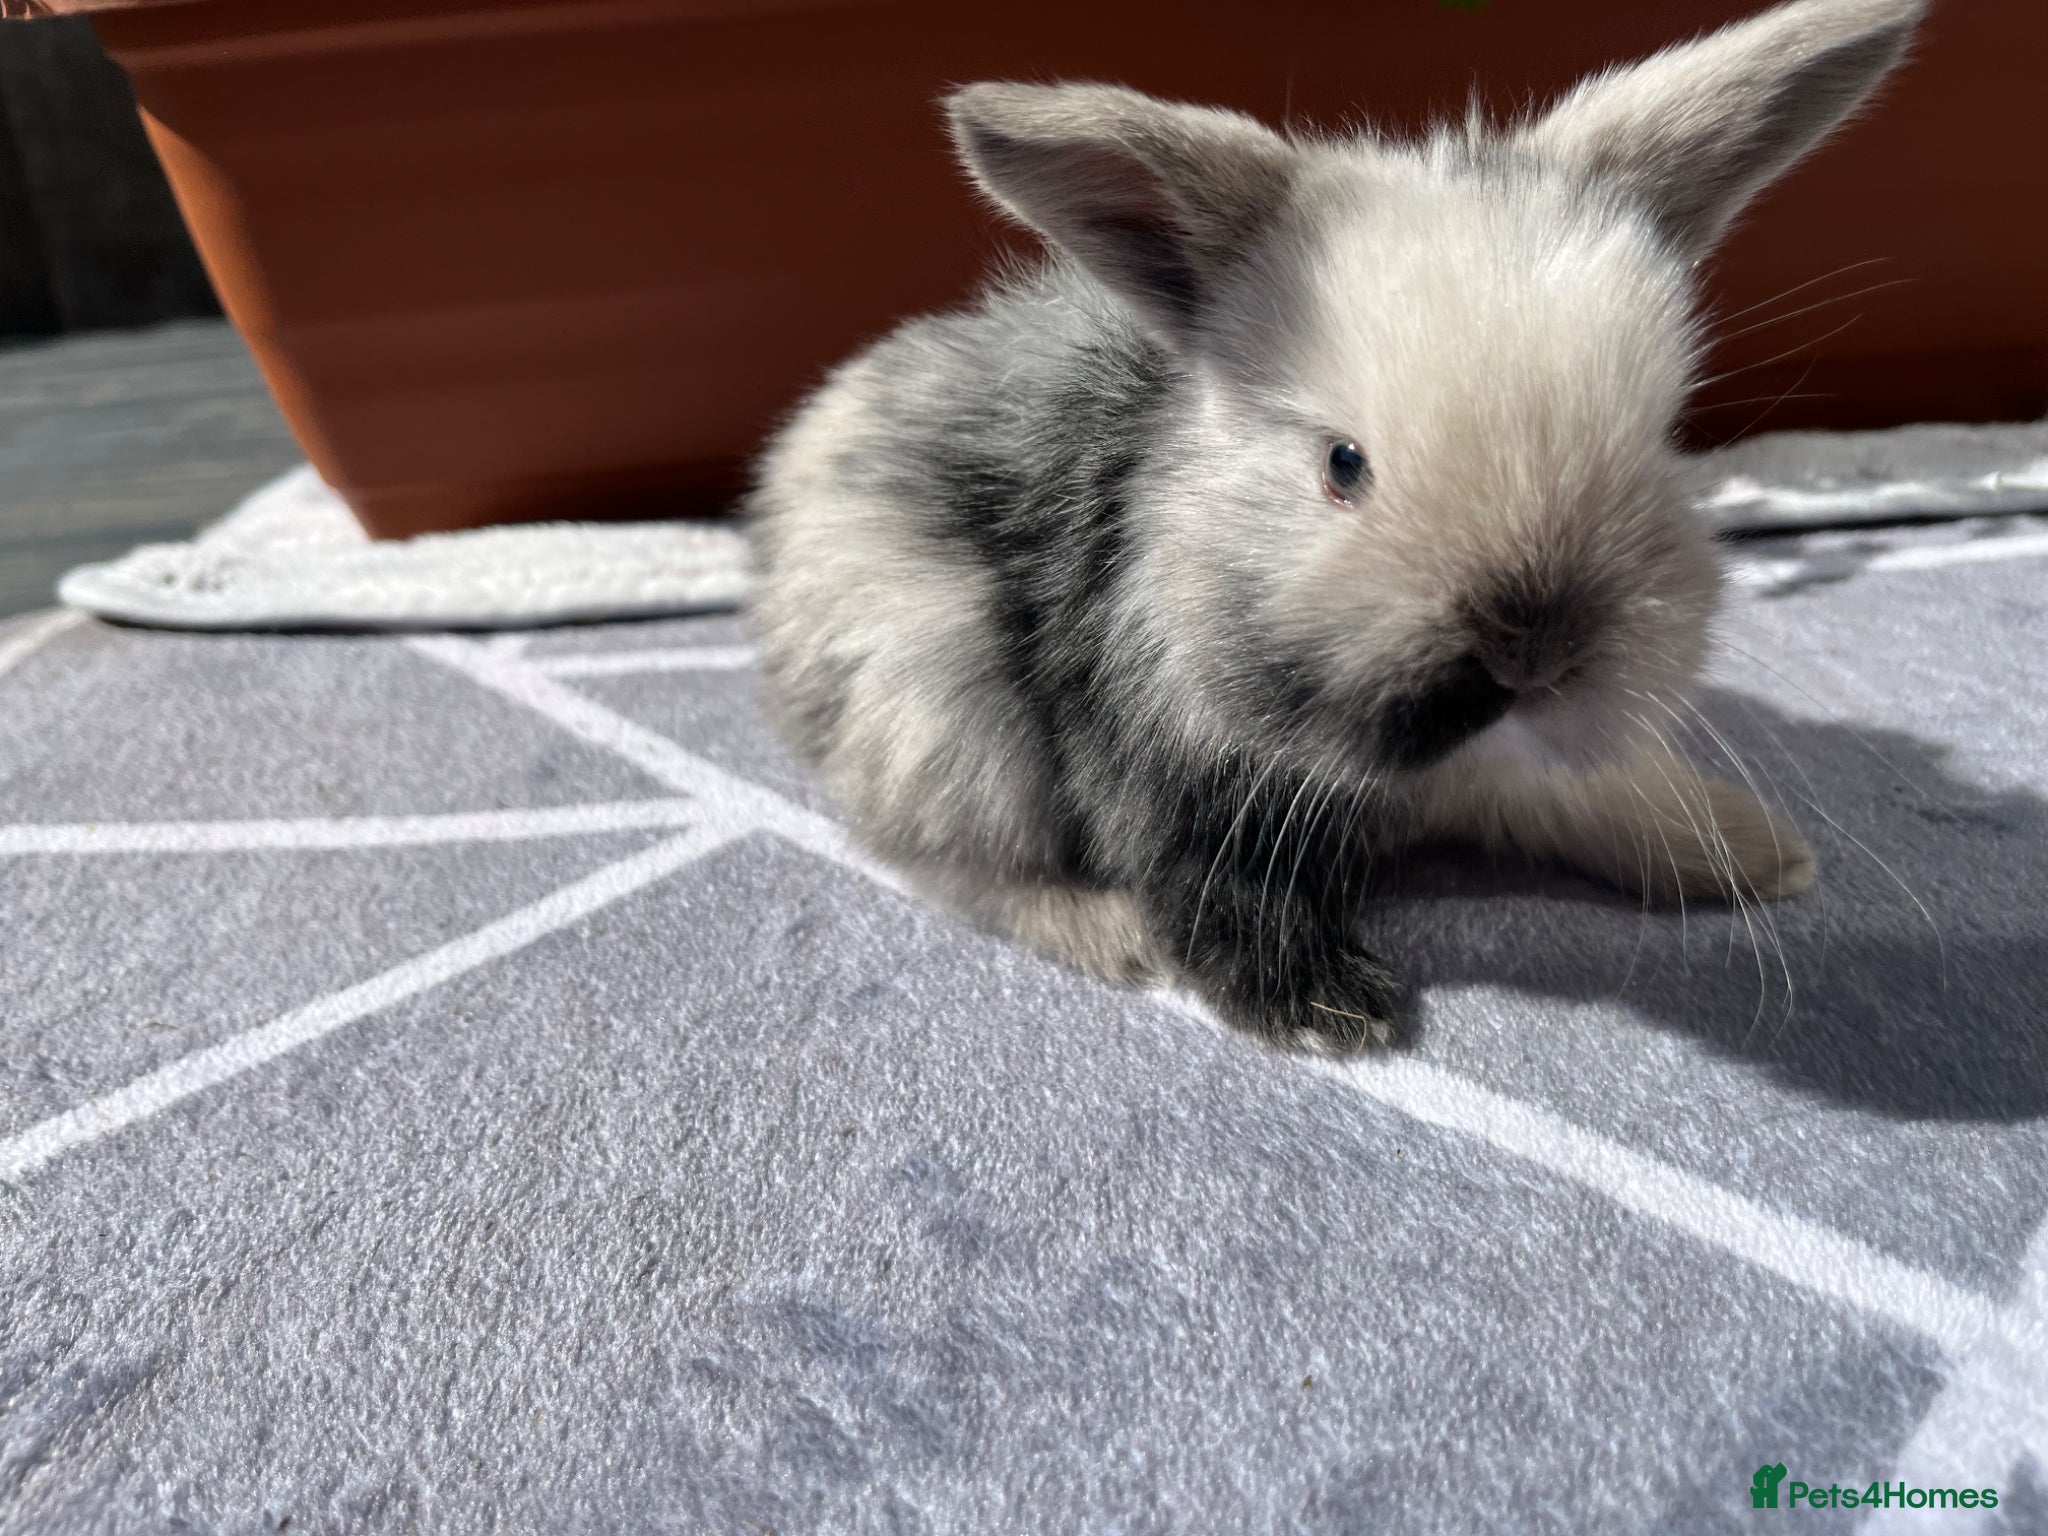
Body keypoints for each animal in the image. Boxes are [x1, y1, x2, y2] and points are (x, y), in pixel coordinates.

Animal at [747, 0, 1924, 1051]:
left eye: (1655, 437)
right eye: (1342, 466)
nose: (1531, 653)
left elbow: (1586, 795)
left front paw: (1751, 850)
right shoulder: (1162, 776)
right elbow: (1205, 880)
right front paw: (1329, 1013)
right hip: (935, 693)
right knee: (943, 860)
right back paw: (1106, 932)